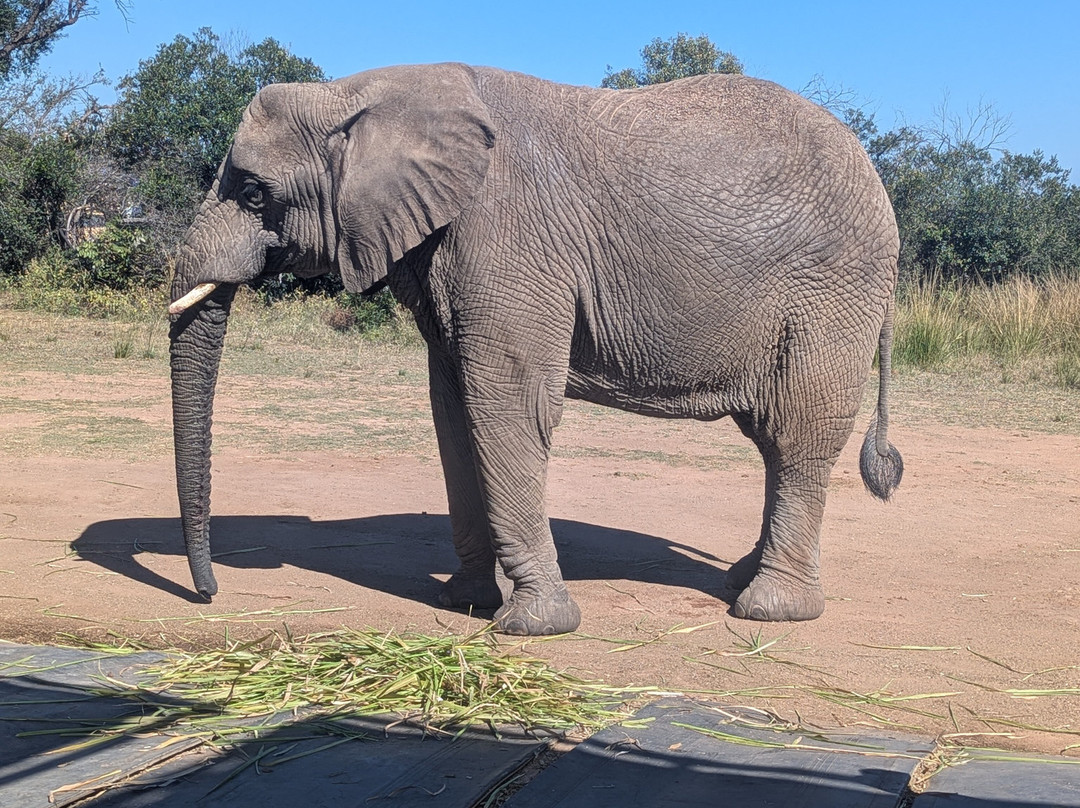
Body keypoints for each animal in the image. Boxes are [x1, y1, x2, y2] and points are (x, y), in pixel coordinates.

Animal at [168, 62, 903, 636]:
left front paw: (530, 625)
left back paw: (769, 608)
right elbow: (454, 413)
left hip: (833, 294)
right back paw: (741, 579)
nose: (209, 594)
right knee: (774, 439)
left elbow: (507, 407)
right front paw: (462, 602)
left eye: (254, 193)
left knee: (797, 432)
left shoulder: (509, 240)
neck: (362, 92)